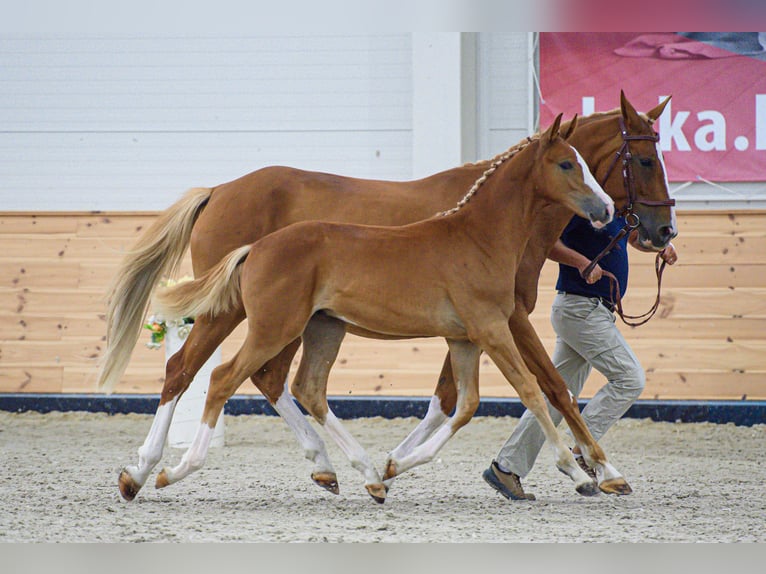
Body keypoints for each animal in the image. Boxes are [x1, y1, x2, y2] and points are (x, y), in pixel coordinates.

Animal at [107, 91, 675, 502]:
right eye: (645, 158)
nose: (661, 231)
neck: (482, 229)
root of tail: (219, 191)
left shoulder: (470, 331)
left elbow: (460, 401)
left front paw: (395, 464)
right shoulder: (502, 321)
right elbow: (545, 390)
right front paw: (594, 471)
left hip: (310, 324)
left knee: (282, 382)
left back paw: (333, 469)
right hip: (248, 317)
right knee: (194, 371)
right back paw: (150, 469)